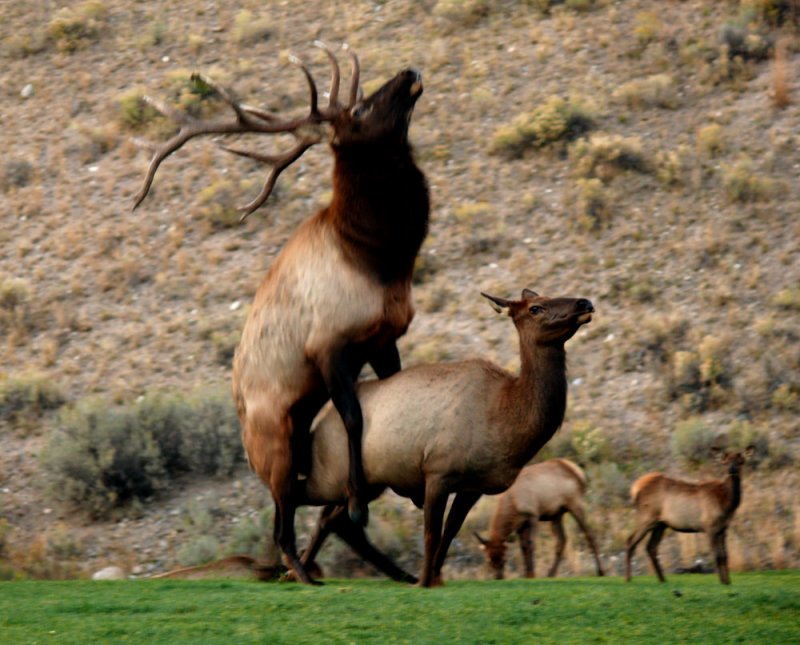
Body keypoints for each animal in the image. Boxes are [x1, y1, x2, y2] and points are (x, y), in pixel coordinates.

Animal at [133, 42, 432, 580]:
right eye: (359, 110)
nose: (410, 72)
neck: (380, 257)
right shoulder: (327, 347)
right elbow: (354, 417)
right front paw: (359, 499)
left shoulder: (384, 338)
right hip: (276, 445)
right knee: (280, 527)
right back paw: (304, 571)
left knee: (299, 522)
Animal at [296, 286, 592, 584]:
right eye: (536, 308)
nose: (584, 303)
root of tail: (320, 422)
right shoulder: (438, 472)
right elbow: (431, 534)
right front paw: (425, 581)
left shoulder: (473, 486)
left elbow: (450, 533)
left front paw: (435, 578)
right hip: (331, 474)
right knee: (303, 501)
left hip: (369, 483)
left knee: (335, 521)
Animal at [624, 448, 756, 584]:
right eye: (725, 462)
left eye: (741, 461)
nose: (732, 470)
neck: (726, 505)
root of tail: (635, 488)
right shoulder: (709, 526)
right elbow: (716, 555)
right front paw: (721, 581)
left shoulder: (723, 529)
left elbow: (725, 556)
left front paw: (727, 581)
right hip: (646, 517)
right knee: (630, 541)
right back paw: (628, 579)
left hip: (661, 524)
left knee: (651, 547)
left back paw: (662, 579)